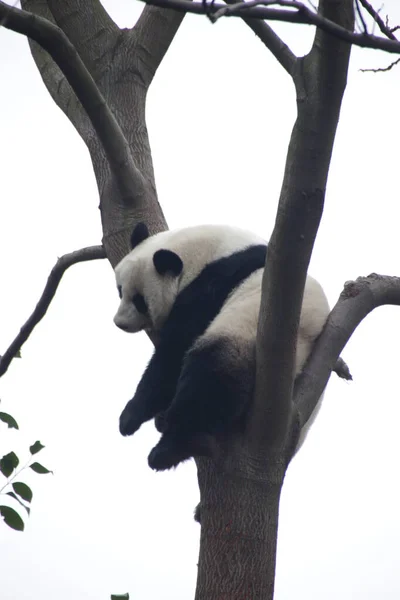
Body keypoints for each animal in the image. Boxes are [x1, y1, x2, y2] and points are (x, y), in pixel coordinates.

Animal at [113, 223, 328, 472]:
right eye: (120, 290)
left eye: (140, 301)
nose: (119, 323)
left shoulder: (216, 282)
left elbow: (175, 350)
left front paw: (130, 416)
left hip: (241, 332)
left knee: (211, 378)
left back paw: (171, 448)